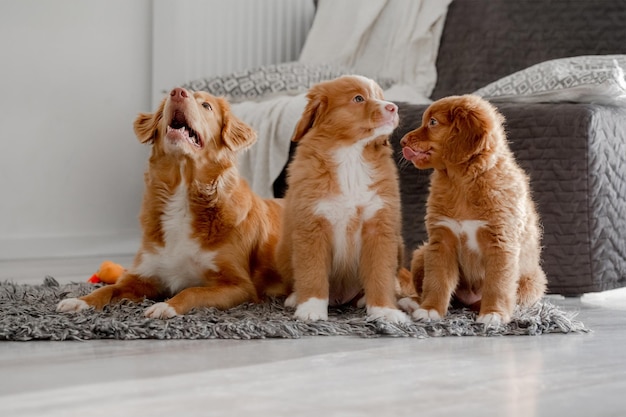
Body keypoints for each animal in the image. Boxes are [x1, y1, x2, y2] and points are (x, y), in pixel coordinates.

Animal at [56, 87, 288, 316]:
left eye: (206, 105)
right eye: (168, 98)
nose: (177, 92)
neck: (182, 193)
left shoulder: (239, 286)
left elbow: (193, 291)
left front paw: (166, 306)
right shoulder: (144, 275)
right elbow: (108, 288)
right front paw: (80, 301)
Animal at [278, 75, 410, 324]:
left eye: (380, 96)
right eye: (358, 98)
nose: (393, 108)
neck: (352, 156)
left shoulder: (379, 226)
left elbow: (380, 274)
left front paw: (384, 310)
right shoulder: (312, 226)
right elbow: (312, 272)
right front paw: (311, 308)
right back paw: (295, 297)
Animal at [398, 94, 544, 324]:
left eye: (433, 122)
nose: (402, 141)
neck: (461, 183)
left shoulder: (500, 242)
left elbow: (498, 284)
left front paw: (493, 313)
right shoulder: (442, 238)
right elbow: (437, 280)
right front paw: (430, 309)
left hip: (533, 281)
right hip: (422, 253)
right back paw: (413, 302)